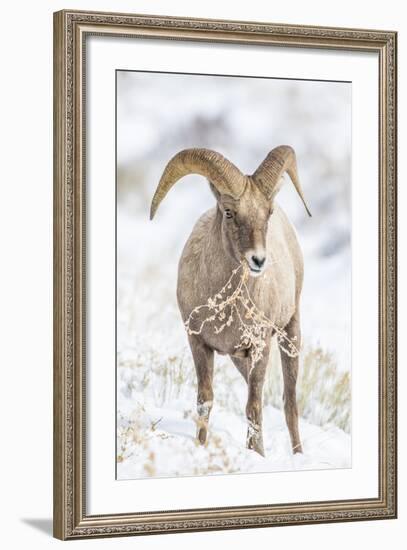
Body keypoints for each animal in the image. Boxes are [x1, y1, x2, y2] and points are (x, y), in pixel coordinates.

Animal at [151, 146, 310, 458]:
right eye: (228, 212)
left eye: (268, 212)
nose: (258, 260)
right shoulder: (199, 344)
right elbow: (205, 401)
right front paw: (200, 447)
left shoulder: (260, 347)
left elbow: (253, 407)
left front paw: (256, 455)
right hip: (240, 358)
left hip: (290, 333)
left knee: (289, 403)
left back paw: (298, 455)